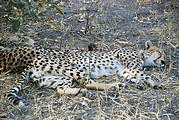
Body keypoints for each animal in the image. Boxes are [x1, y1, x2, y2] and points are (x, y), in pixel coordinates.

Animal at [0, 40, 165, 107]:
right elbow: (145, 74)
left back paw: (81, 92)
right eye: (160, 52)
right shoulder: (128, 66)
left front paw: (139, 83)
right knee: (88, 82)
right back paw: (114, 86)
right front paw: (156, 83)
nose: (164, 61)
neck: (142, 56)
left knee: (60, 89)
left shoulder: (125, 70)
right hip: (71, 68)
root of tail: (32, 62)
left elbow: (135, 76)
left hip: (58, 77)